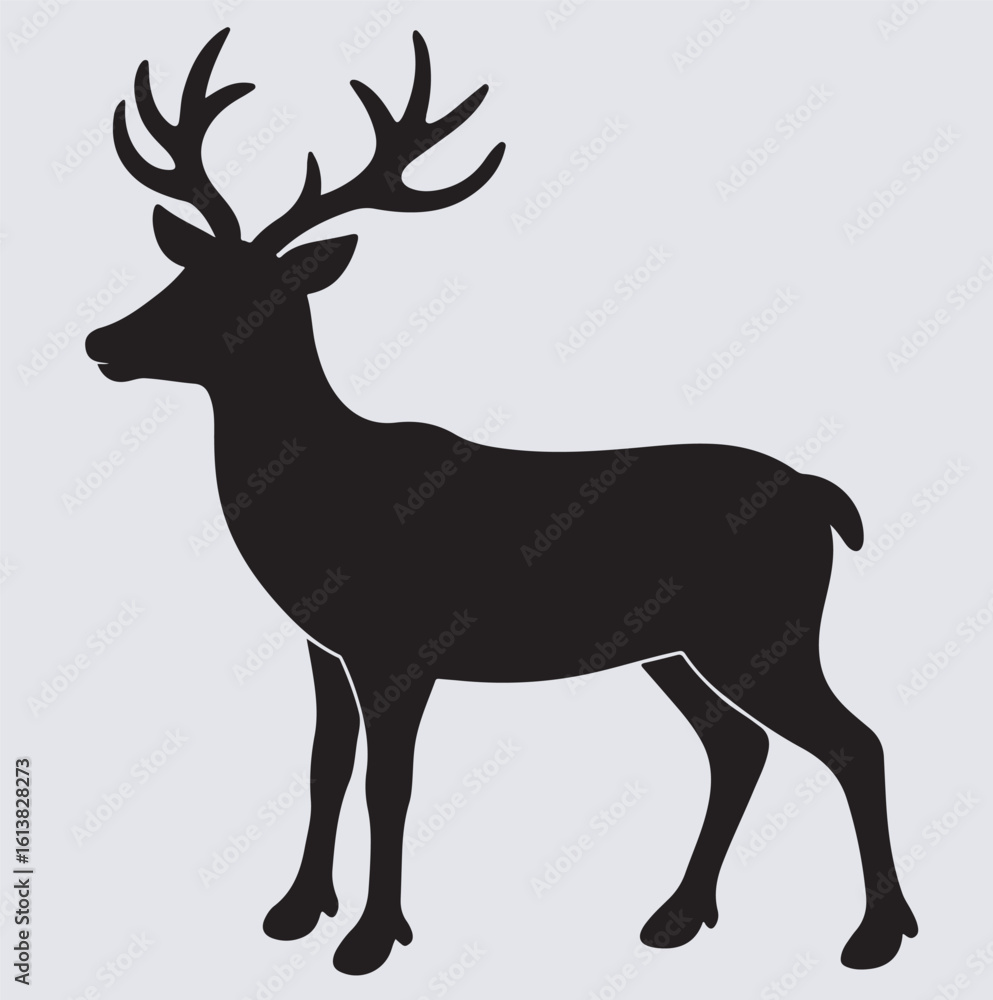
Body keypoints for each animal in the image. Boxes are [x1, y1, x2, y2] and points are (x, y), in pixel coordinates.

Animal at [86, 27, 918, 976]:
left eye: (243, 291)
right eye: (182, 273)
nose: (102, 340)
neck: (317, 496)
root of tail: (824, 501)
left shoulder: (399, 645)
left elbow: (389, 784)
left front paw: (372, 938)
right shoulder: (323, 646)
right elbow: (324, 766)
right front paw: (295, 911)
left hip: (762, 629)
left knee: (853, 740)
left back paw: (876, 934)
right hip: (678, 648)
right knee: (739, 745)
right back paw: (677, 915)